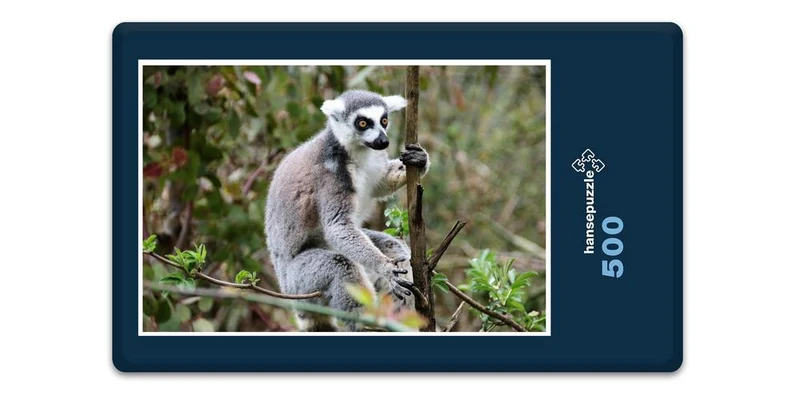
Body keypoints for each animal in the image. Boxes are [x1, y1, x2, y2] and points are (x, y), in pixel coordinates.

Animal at [265, 90, 430, 332]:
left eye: (384, 120)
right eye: (362, 123)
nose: (383, 141)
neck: (355, 152)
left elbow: (380, 184)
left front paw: (420, 159)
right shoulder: (331, 175)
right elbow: (338, 226)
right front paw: (384, 267)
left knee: (395, 248)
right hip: (300, 283)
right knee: (340, 266)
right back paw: (364, 324)